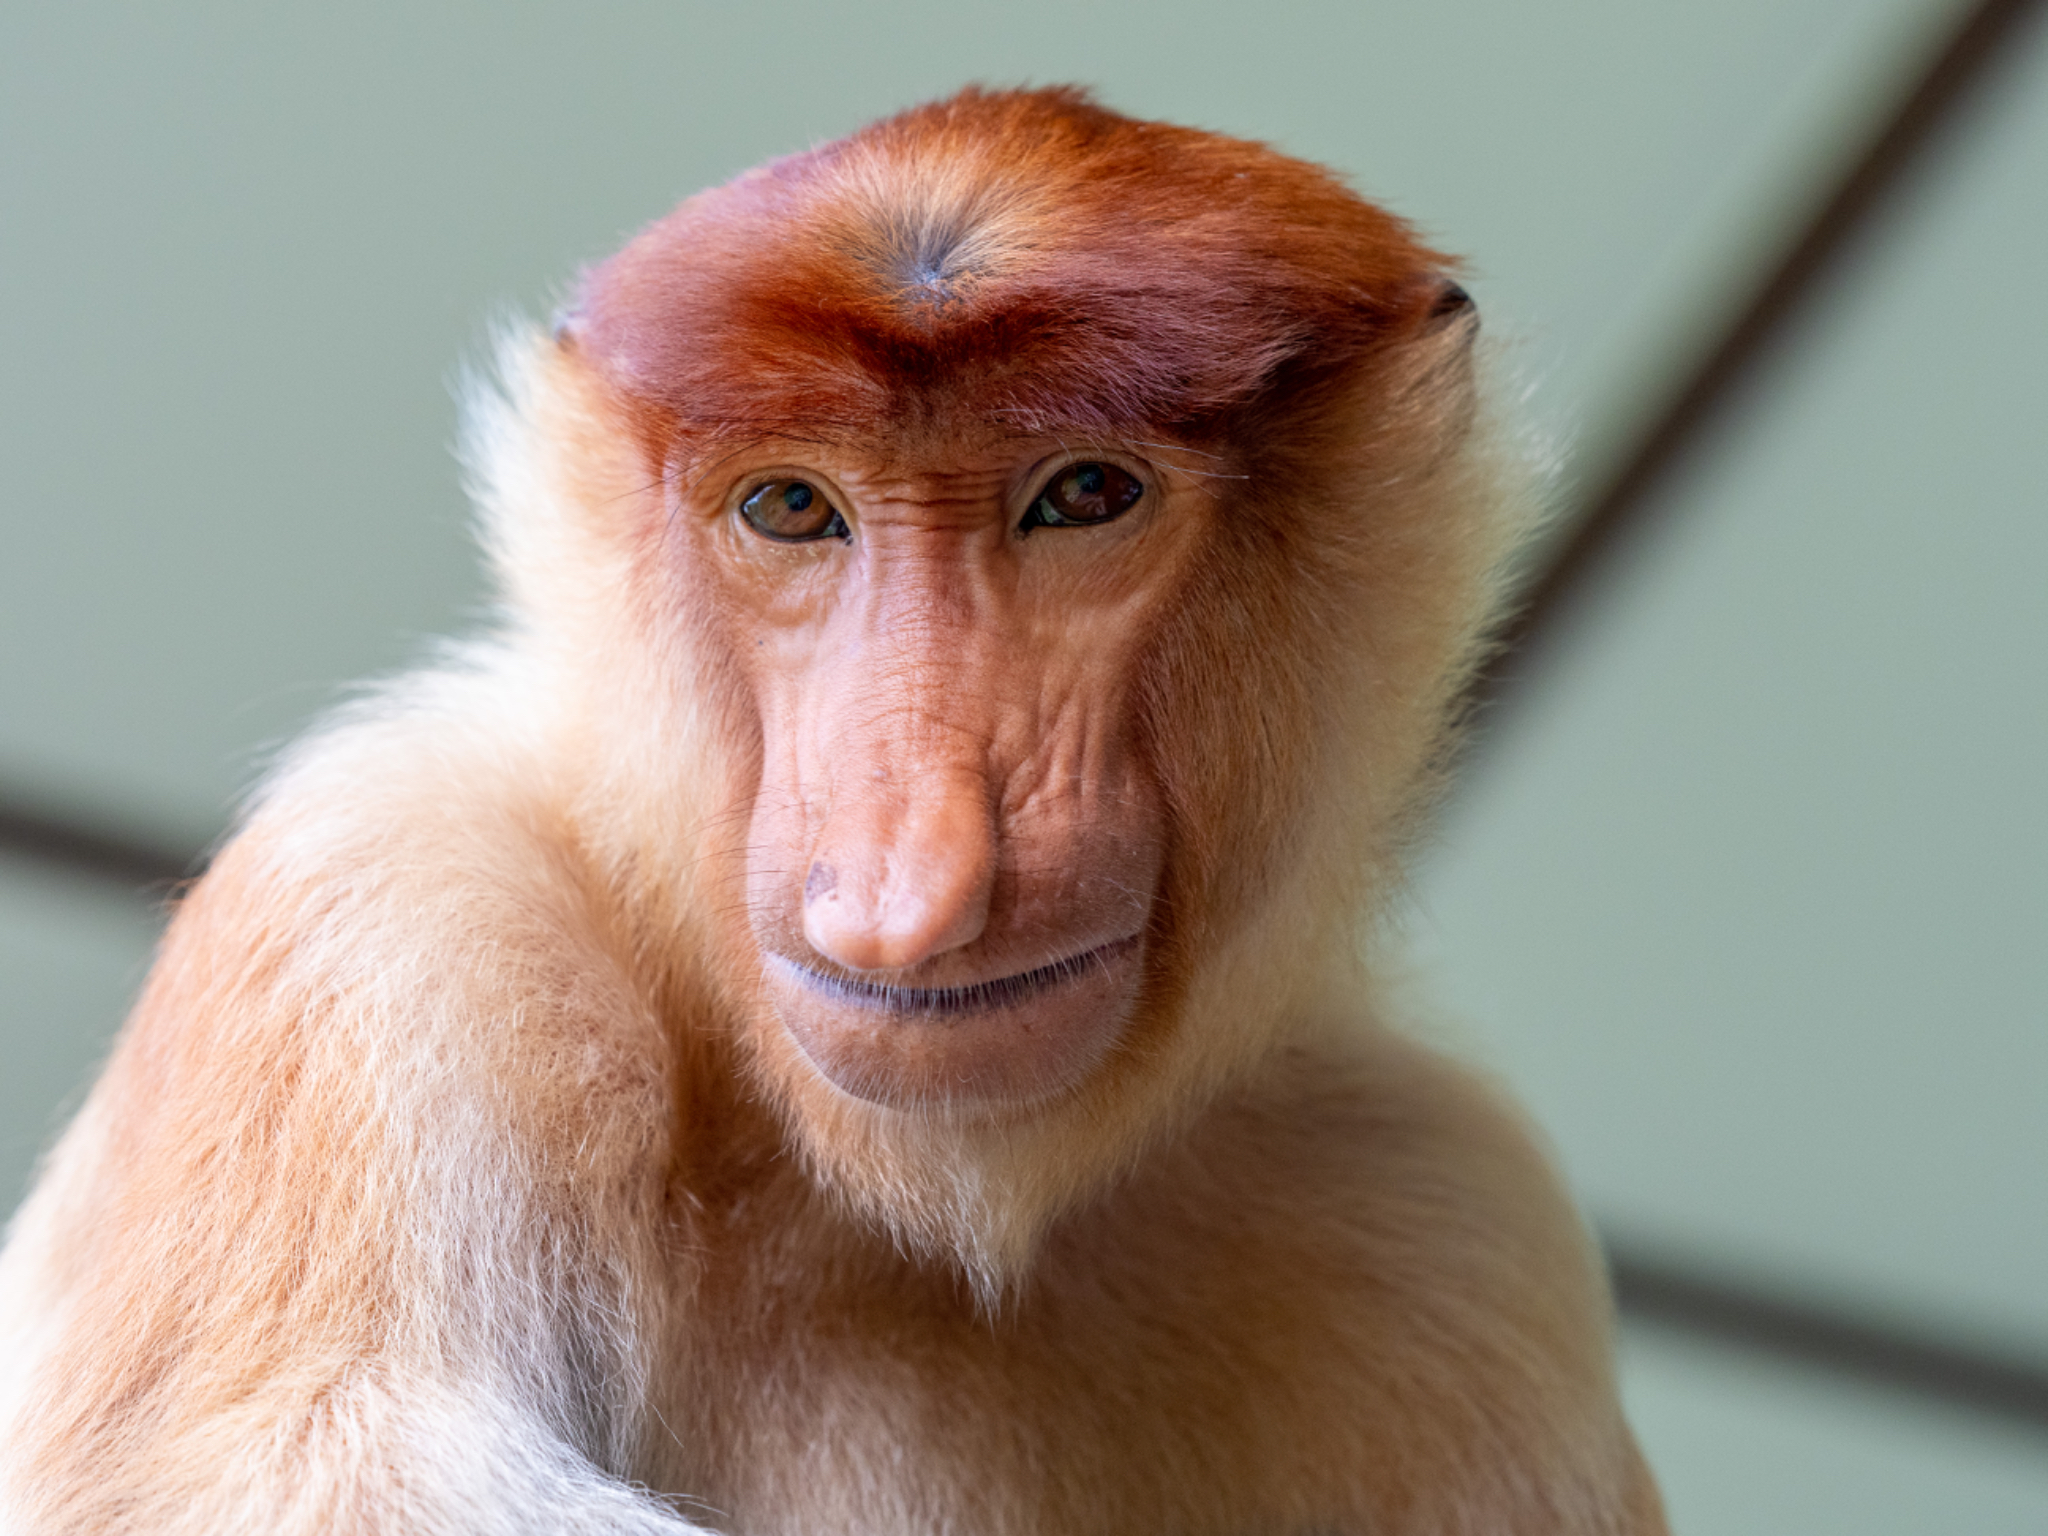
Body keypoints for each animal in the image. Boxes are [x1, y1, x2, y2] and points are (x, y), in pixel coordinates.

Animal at [0, 88, 1666, 1534]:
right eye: (792, 507)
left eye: (1085, 493)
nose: (909, 876)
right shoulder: (384, 904)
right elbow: (300, 1462)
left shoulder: (1448, 1219)